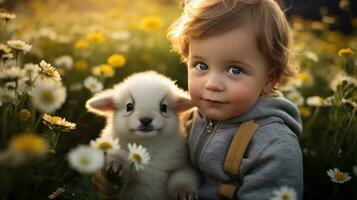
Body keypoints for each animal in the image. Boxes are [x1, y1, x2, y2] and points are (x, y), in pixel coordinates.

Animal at [85, 71, 199, 199]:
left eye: (163, 107)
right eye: (129, 106)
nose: (146, 120)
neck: (146, 145)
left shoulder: (182, 166)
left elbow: (182, 179)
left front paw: (185, 193)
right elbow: (118, 157)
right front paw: (116, 166)